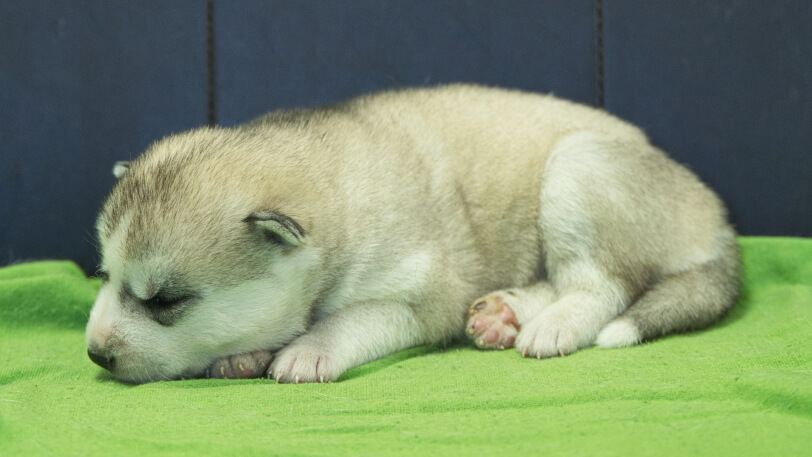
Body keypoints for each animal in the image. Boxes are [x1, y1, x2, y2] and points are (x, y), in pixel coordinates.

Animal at [85, 83, 740, 382]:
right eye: (105, 276)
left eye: (166, 301)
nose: (95, 353)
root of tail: (716, 217)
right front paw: (243, 353)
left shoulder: (421, 294)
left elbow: (350, 320)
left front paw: (307, 351)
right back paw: (506, 313)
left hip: (579, 170)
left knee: (602, 285)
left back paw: (551, 325)